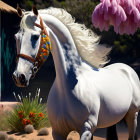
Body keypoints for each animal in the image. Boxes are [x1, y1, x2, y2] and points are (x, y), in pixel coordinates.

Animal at [12, 6, 140, 139]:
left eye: (35, 37)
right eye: (16, 37)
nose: (19, 77)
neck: (69, 85)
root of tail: (127, 68)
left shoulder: (86, 129)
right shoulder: (58, 132)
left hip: (132, 116)